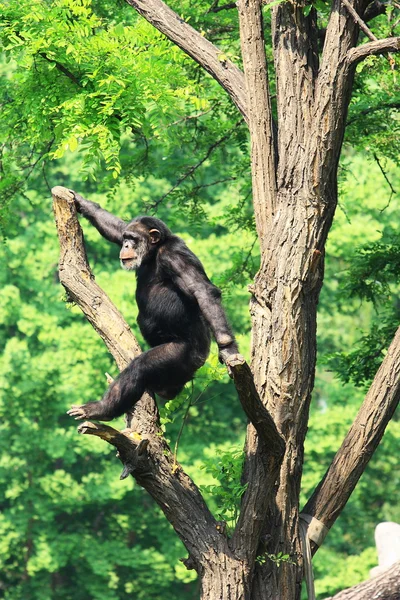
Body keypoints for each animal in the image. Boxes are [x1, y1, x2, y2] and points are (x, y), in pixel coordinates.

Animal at [67, 192, 239, 422]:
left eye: (133, 239)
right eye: (126, 238)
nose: (126, 246)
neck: (155, 252)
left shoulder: (175, 256)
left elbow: (201, 289)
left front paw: (228, 349)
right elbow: (116, 227)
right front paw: (80, 201)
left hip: (184, 354)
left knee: (140, 368)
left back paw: (100, 409)